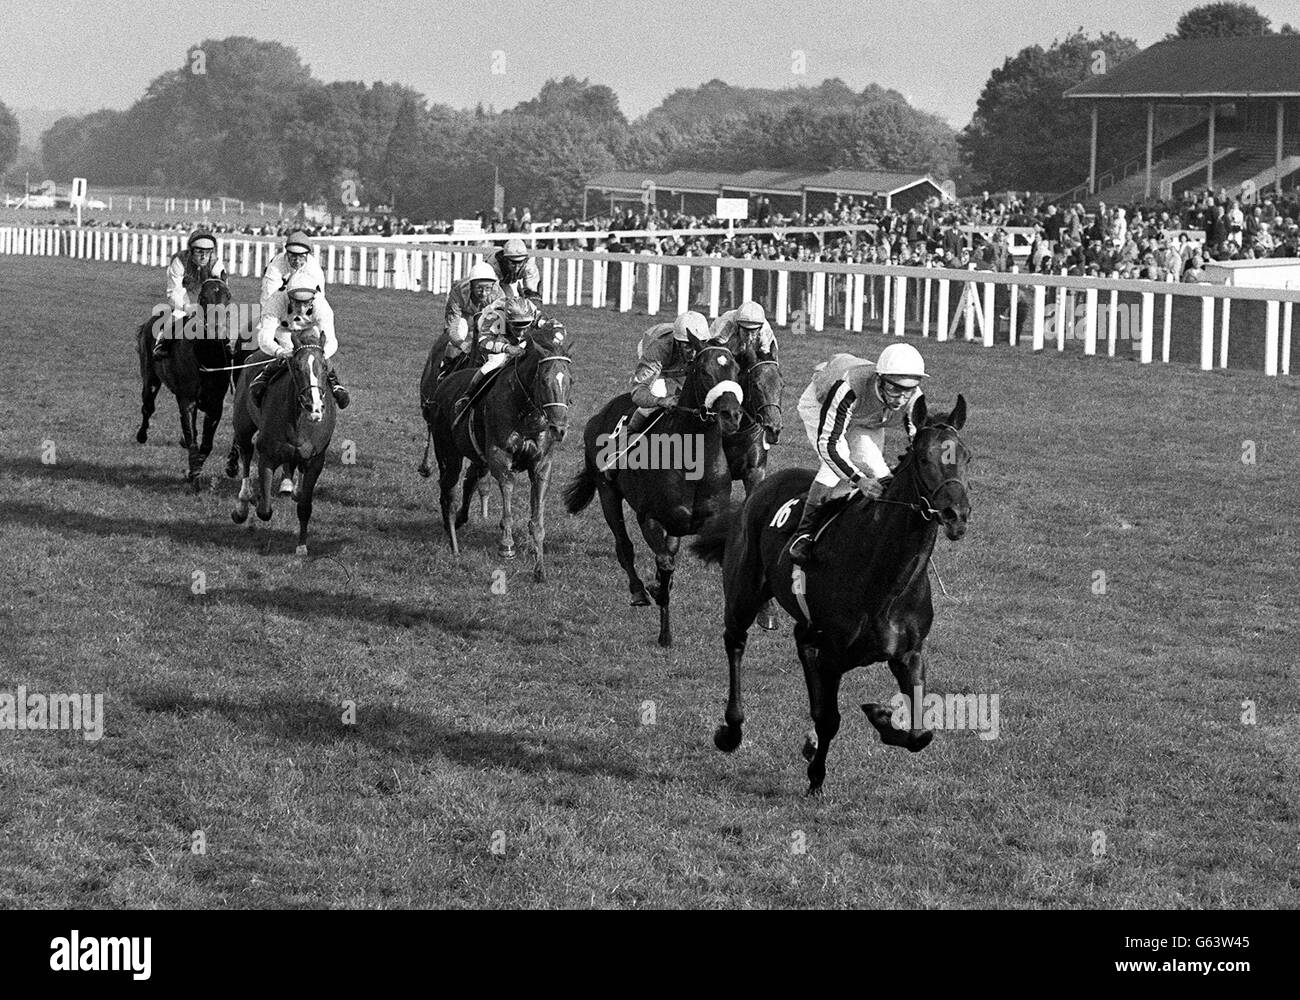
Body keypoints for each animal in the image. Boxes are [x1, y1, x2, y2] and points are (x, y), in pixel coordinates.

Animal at [135, 275, 232, 488]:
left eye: (228, 296)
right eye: (203, 297)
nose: (217, 329)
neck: (207, 358)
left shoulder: (215, 404)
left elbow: (206, 443)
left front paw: (193, 471)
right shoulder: (187, 400)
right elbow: (191, 436)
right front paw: (194, 474)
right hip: (150, 378)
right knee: (148, 407)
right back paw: (141, 435)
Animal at [566, 338, 748, 644]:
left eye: (736, 369)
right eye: (703, 370)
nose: (731, 415)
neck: (693, 461)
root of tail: (600, 414)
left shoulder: (709, 523)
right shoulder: (649, 518)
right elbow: (664, 564)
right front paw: (660, 608)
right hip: (608, 493)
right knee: (624, 547)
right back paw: (639, 590)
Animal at [696, 395, 972, 790]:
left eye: (966, 457)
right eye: (923, 458)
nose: (956, 514)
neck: (886, 582)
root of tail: (763, 486)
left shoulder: (908, 653)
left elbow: (921, 733)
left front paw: (880, 717)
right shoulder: (825, 652)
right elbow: (828, 718)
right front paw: (816, 774)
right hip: (743, 595)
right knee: (734, 642)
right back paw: (731, 731)